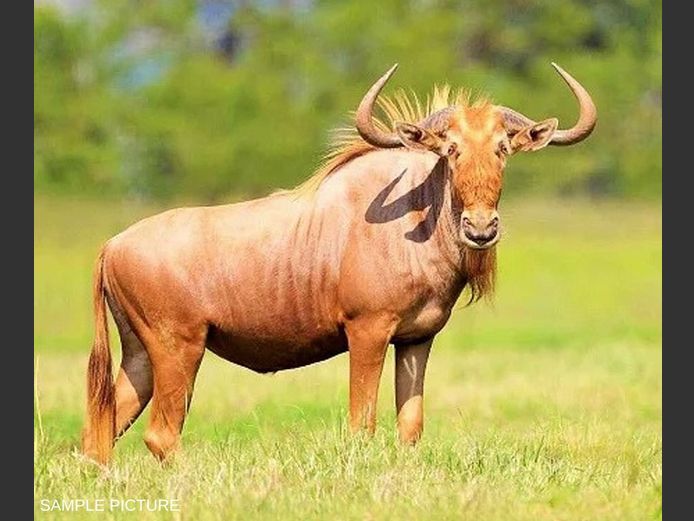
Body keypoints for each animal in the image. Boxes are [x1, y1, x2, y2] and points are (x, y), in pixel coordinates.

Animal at [82, 63, 596, 464]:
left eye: (503, 148)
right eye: (450, 149)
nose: (481, 228)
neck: (414, 220)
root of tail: (112, 245)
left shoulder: (416, 339)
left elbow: (410, 426)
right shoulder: (367, 332)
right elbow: (362, 423)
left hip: (141, 358)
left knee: (99, 433)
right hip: (179, 350)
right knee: (160, 434)